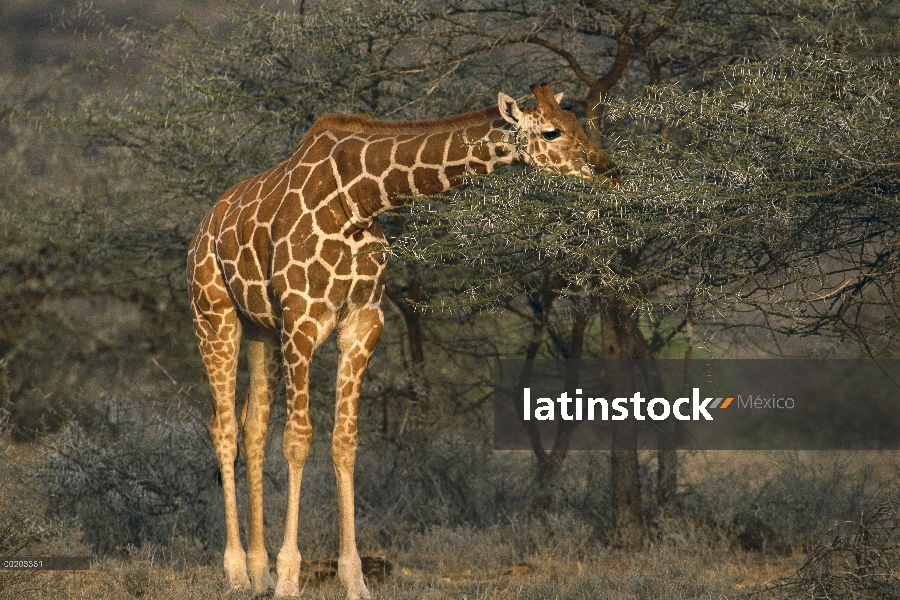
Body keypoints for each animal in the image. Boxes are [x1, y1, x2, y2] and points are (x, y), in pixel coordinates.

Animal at [185, 82, 620, 596]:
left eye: (579, 124)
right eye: (552, 131)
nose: (609, 172)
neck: (359, 199)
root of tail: (203, 226)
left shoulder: (362, 322)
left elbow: (345, 440)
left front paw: (353, 578)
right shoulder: (302, 317)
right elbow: (298, 438)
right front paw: (290, 577)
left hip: (261, 329)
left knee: (253, 426)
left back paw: (258, 571)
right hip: (214, 314)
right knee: (223, 426)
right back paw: (235, 572)